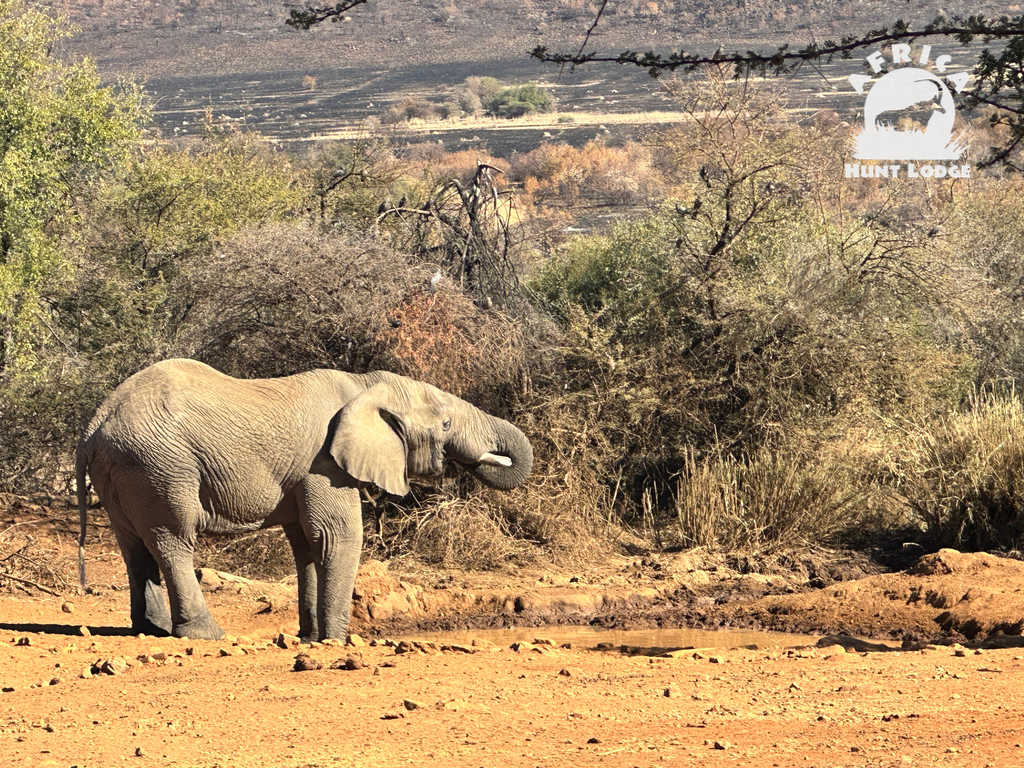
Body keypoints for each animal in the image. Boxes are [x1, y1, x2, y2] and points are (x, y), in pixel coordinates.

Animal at [75, 358, 532, 641]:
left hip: (127, 470)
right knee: (173, 541)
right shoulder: (324, 464)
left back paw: (150, 630)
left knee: (134, 546)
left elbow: (307, 546)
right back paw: (205, 634)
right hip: (161, 466)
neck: (363, 384)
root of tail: (94, 424)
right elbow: (336, 537)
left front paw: (310, 638)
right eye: (447, 424)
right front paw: (337, 640)